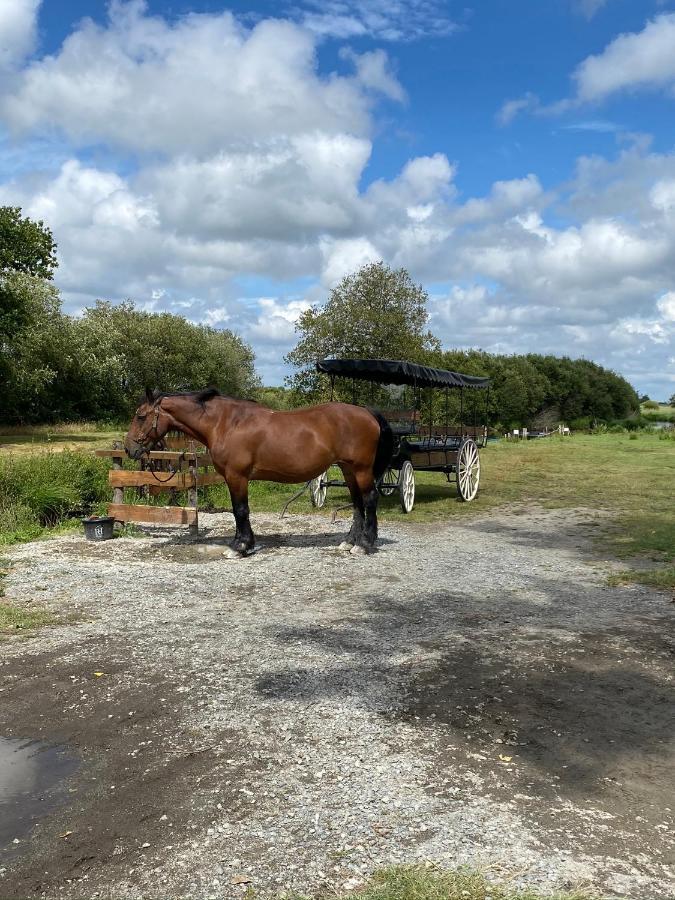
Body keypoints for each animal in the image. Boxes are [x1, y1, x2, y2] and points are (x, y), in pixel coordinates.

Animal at [124, 386, 394, 556]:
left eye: (140, 416)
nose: (129, 449)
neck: (226, 423)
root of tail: (366, 412)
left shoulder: (237, 476)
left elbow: (240, 510)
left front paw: (240, 547)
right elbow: (240, 512)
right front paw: (244, 543)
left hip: (361, 469)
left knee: (370, 499)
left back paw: (365, 544)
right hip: (349, 470)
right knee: (357, 503)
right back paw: (349, 542)